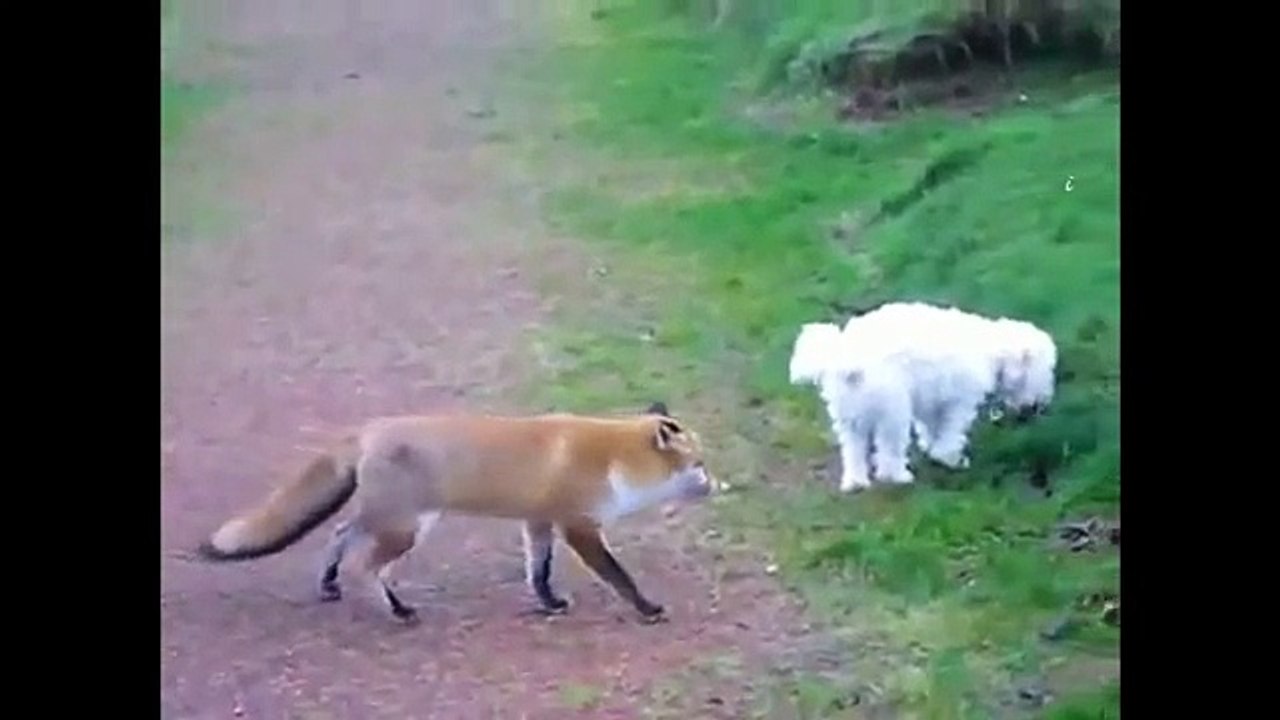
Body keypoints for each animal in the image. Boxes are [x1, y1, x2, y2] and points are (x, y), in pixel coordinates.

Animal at [195, 402, 718, 625]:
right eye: (700, 465)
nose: (721, 486)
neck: (613, 461)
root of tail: (369, 428)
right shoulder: (579, 527)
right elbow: (619, 576)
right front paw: (647, 609)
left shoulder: (539, 522)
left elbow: (539, 573)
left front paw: (548, 604)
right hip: (407, 529)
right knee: (365, 565)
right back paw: (398, 611)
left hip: (388, 520)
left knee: (340, 533)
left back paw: (328, 585)